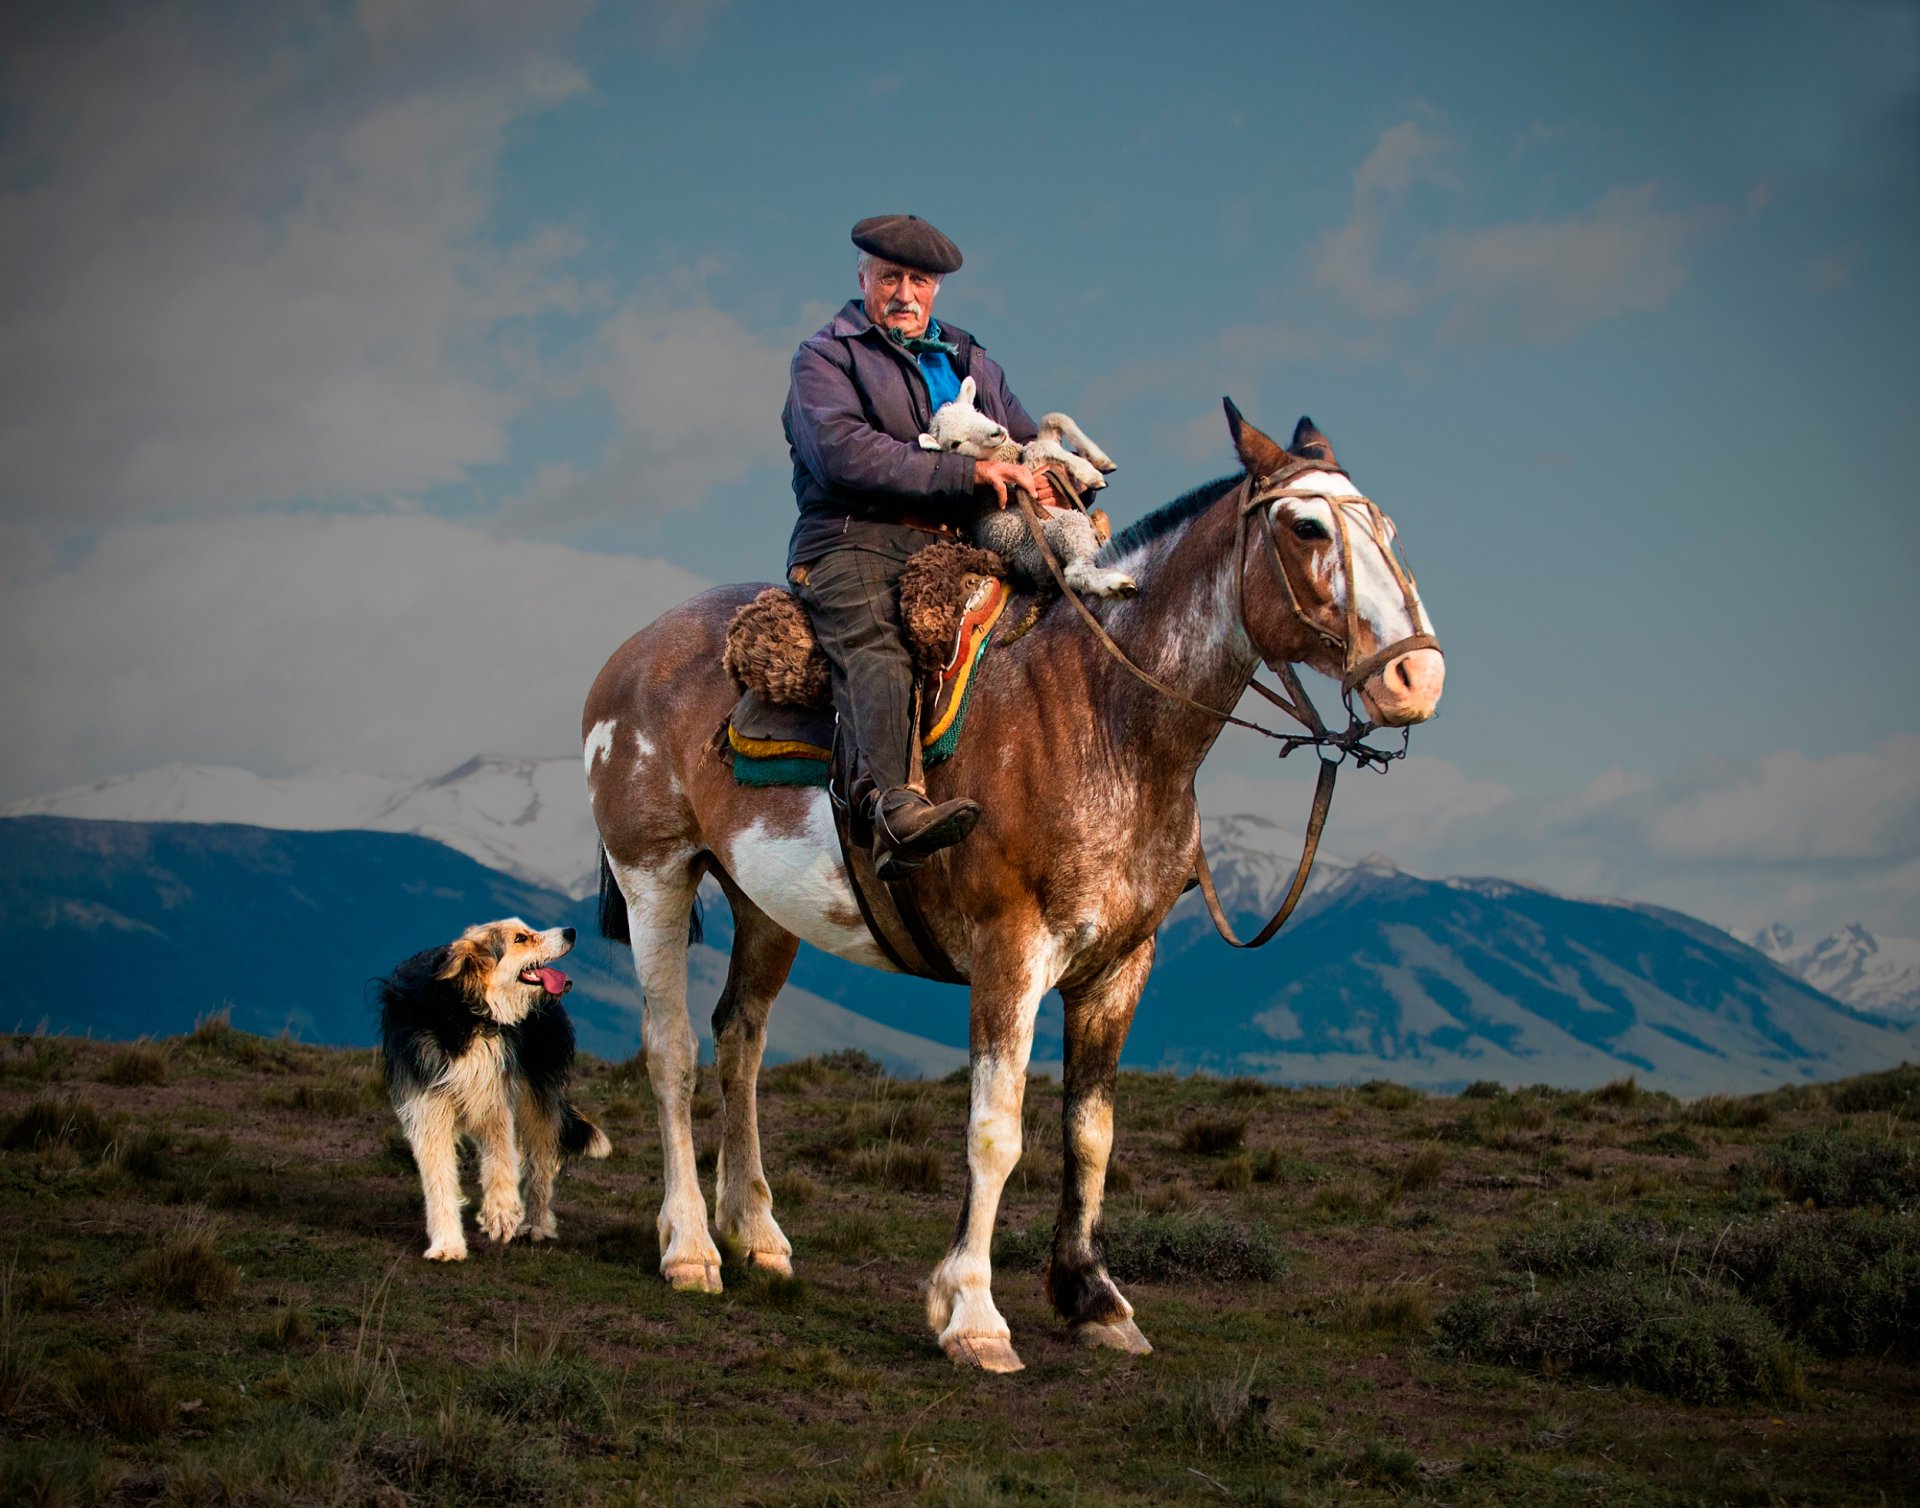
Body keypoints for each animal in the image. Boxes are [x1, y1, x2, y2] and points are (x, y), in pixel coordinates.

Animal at [378, 918, 610, 1260]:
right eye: (520, 939)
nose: (571, 931)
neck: (465, 1013)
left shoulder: (494, 1095)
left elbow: (501, 1156)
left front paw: (501, 1213)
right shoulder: (427, 1106)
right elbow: (438, 1177)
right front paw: (446, 1244)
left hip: (537, 1093)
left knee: (540, 1163)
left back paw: (536, 1224)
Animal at [579, 399, 1443, 1367]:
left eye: (1388, 529)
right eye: (1305, 527)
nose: (1417, 675)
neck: (1103, 712)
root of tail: (629, 658)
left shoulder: (1119, 967)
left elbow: (1091, 1133)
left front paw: (1093, 1296)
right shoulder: (1010, 953)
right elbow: (996, 1132)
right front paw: (972, 1314)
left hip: (763, 907)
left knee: (741, 1042)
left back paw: (756, 1234)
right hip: (655, 875)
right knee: (671, 1049)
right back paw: (690, 1246)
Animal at [917, 376, 1136, 599]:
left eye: (975, 411)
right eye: (955, 444)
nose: (996, 433)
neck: (1006, 456)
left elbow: (1054, 418)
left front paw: (1101, 461)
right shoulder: (1025, 474)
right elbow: (1042, 446)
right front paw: (1090, 473)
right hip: (1058, 535)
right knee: (1073, 572)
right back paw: (1114, 583)